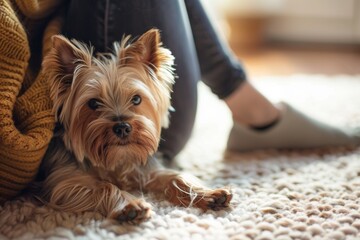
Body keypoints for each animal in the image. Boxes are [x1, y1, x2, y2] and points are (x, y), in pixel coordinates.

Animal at [39, 29, 232, 224]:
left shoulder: (144, 169)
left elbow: (174, 177)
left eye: (137, 99)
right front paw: (129, 205)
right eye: (93, 103)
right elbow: (104, 186)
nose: (122, 127)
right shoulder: (65, 183)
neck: (116, 160)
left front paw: (209, 194)